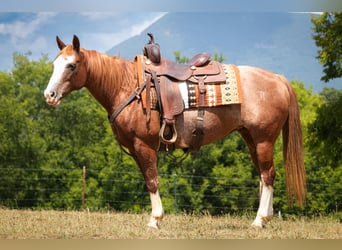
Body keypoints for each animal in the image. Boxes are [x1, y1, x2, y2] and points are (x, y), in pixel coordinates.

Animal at [42, 34, 304, 229]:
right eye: (55, 64)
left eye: (71, 65)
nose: (49, 95)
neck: (127, 86)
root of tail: (278, 79)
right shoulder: (136, 149)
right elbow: (148, 180)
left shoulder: (144, 146)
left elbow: (152, 180)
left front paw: (155, 219)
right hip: (251, 138)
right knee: (264, 175)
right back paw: (265, 218)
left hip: (263, 140)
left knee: (268, 175)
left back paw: (259, 220)